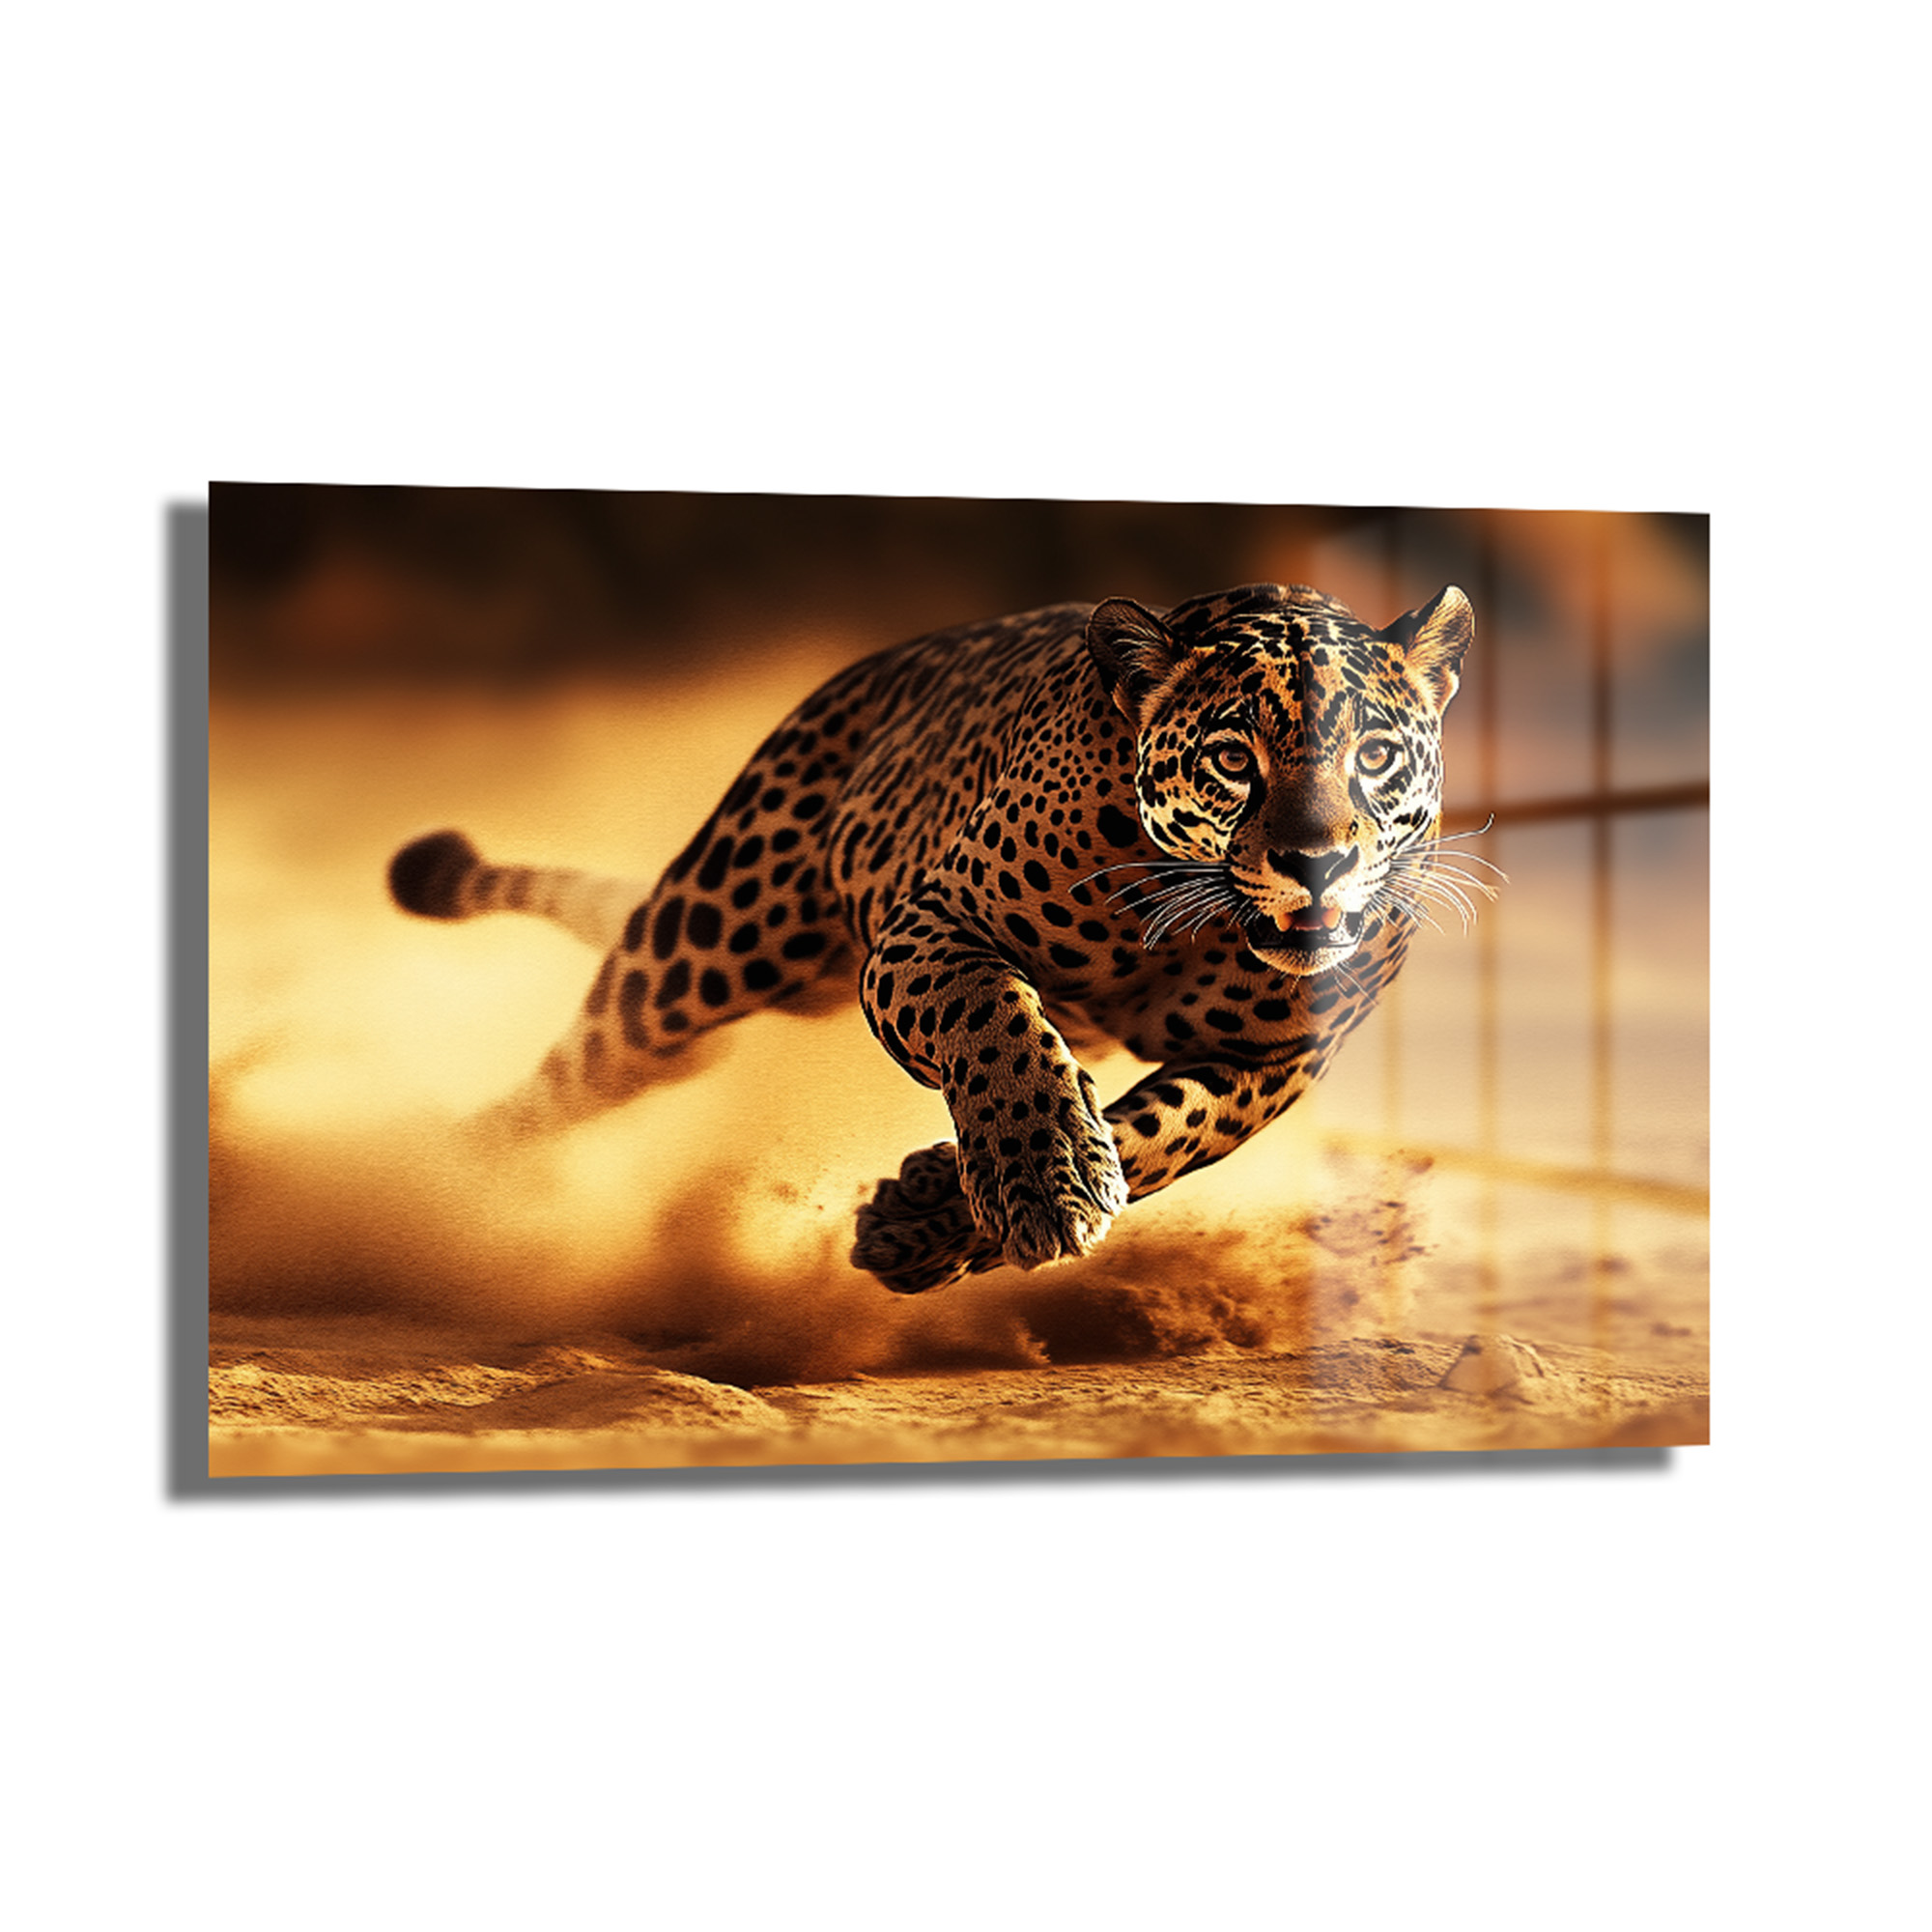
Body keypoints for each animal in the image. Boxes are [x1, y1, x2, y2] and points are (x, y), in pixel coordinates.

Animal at [387, 580, 1485, 1295]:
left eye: (1374, 755)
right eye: (1230, 756)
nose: (1317, 863)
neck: (1192, 924)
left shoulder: (1271, 1061)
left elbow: (1161, 1136)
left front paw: (924, 1220)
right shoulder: (932, 924)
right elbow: (996, 1021)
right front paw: (1041, 1175)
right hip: (700, 945)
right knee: (574, 1076)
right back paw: (435, 1195)